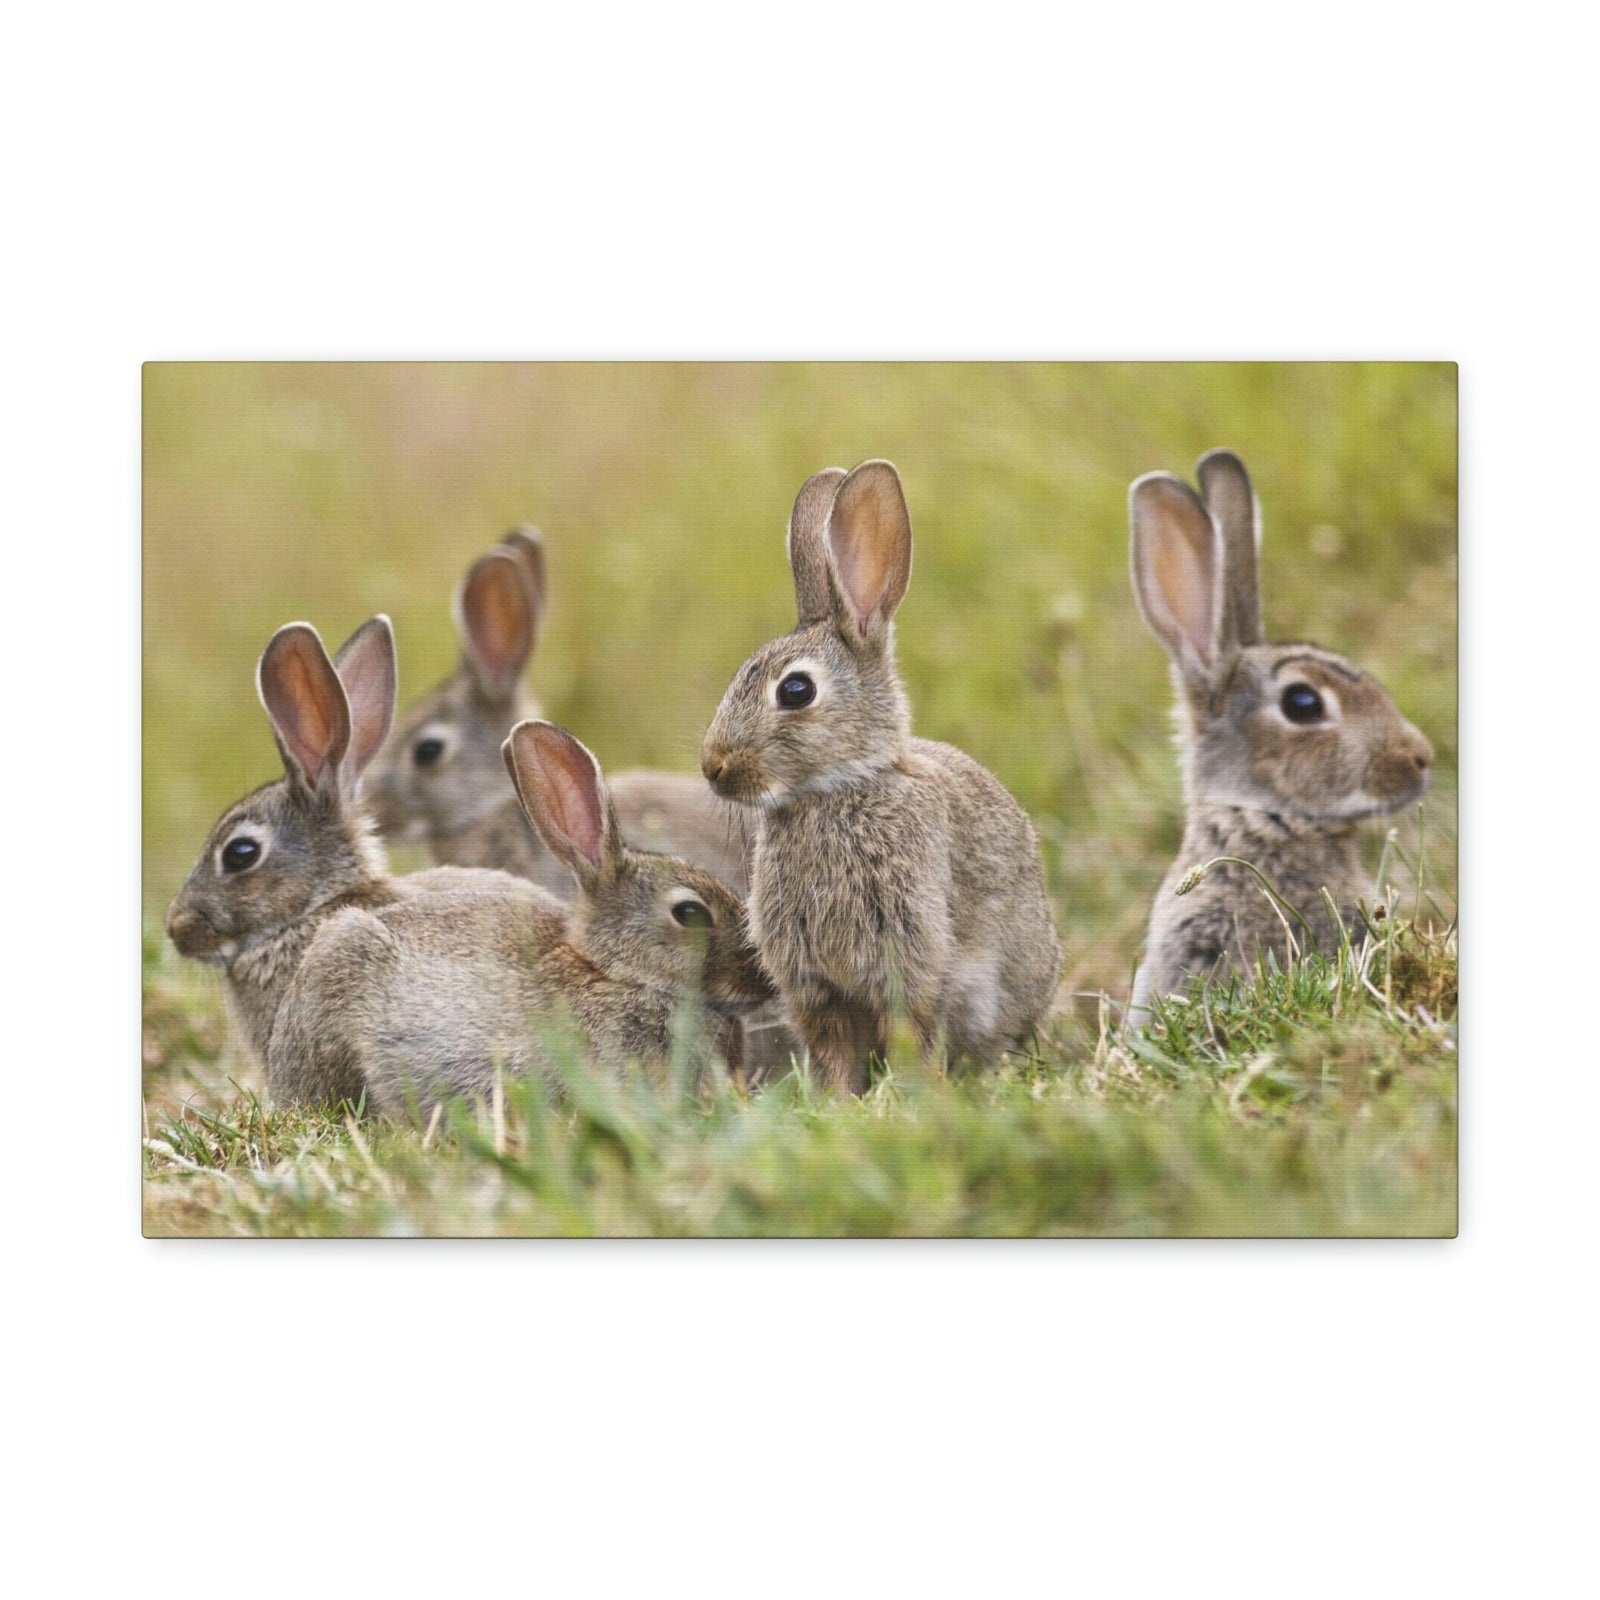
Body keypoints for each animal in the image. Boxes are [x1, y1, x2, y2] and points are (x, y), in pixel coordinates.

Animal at [699, 460, 1062, 1096]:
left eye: (796, 690)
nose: (712, 766)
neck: (837, 789)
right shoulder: (816, 986)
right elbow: (832, 1050)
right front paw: (837, 1102)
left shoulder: (909, 956)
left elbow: (911, 1032)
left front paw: (914, 1095)